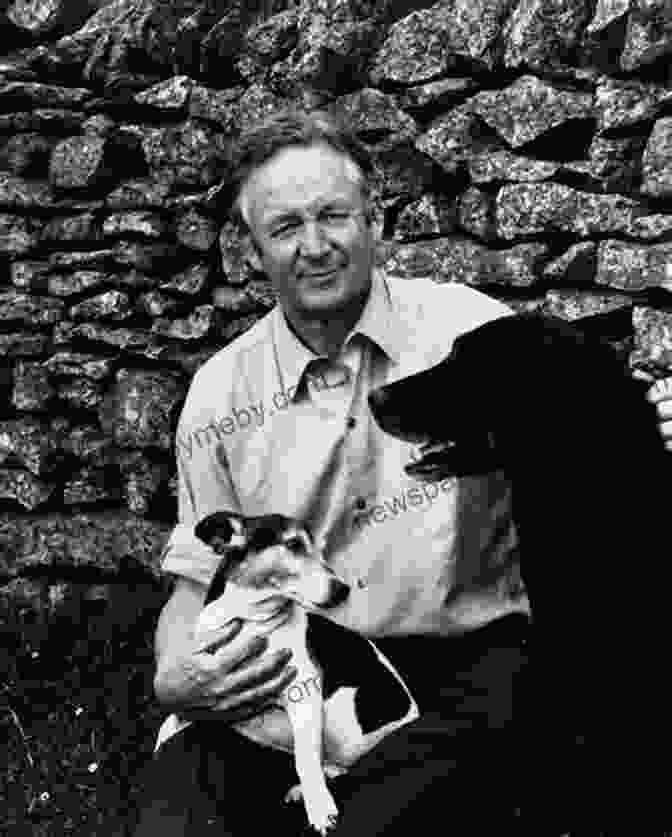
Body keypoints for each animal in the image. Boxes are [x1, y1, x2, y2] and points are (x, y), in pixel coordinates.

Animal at [156, 512, 420, 832]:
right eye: (294, 544)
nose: (343, 589)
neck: (249, 621)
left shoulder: (304, 696)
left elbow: (305, 760)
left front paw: (319, 806)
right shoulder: (202, 690)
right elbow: (171, 720)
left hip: (342, 713)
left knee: (337, 763)